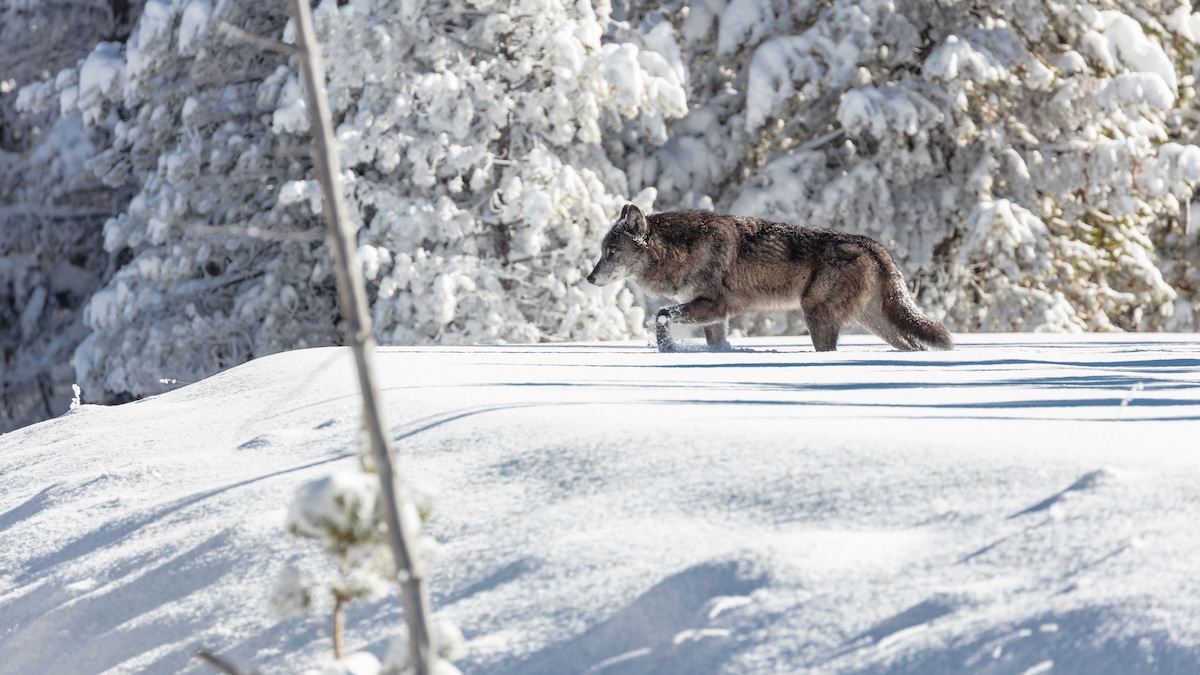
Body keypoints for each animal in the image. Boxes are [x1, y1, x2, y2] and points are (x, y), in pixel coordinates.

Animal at [585, 204, 950, 353]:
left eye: (612, 252)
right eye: (602, 251)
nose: (589, 279)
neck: (682, 249)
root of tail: (872, 244)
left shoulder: (713, 306)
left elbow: (660, 316)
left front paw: (668, 349)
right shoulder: (715, 317)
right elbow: (715, 343)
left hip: (817, 315)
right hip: (876, 323)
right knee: (914, 345)